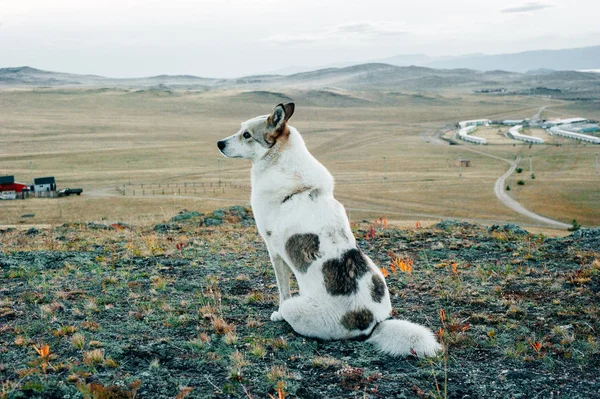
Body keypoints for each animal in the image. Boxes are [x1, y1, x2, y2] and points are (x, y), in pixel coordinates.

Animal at [216, 103, 440, 356]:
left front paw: (276, 314)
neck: (281, 161)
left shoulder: (275, 252)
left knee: (290, 306)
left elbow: (282, 290)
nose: (219, 143)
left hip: (297, 307)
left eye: (246, 135)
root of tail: (372, 322)